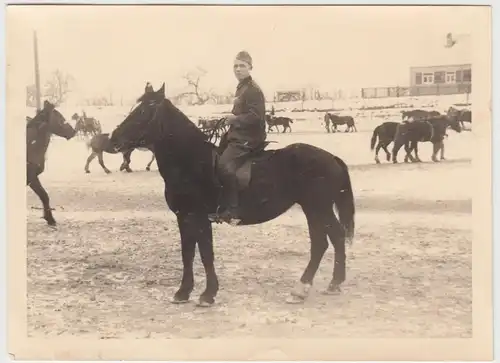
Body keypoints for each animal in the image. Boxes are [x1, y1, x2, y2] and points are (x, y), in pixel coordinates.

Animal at [108, 84, 356, 308]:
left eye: (143, 111)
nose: (113, 139)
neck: (192, 162)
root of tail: (332, 157)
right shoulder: (184, 217)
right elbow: (187, 253)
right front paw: (183, 292)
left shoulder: (199, 217)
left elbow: (206, 254)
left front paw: (208, 295)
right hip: (313, 208)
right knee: (328, 240)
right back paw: (323, 285)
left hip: (318, 207)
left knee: (328, 240)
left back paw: (313, 287)